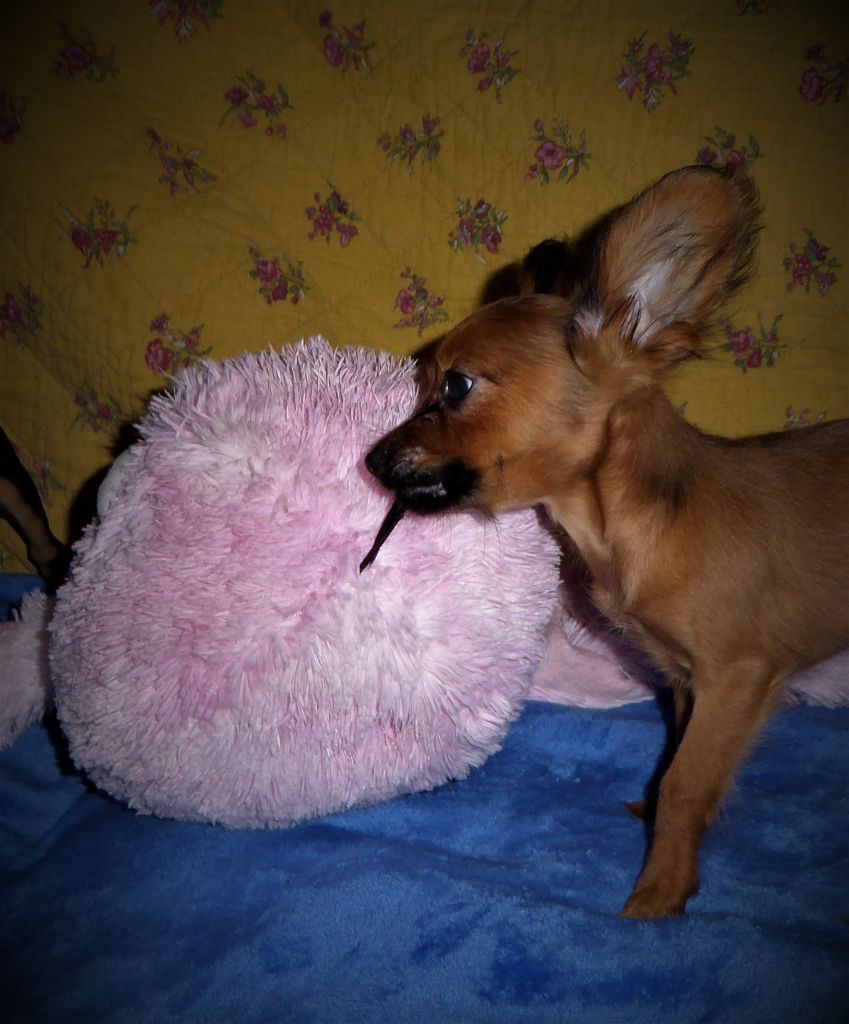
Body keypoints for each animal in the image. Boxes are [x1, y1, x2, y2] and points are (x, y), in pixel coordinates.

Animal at [364, 166, 849, 918]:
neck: (633, 525)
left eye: (456, 385)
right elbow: (674, 760)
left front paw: (657, 897)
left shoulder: (737, 677)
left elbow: (684, 784)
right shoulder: (684, 682)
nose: (373, 460)